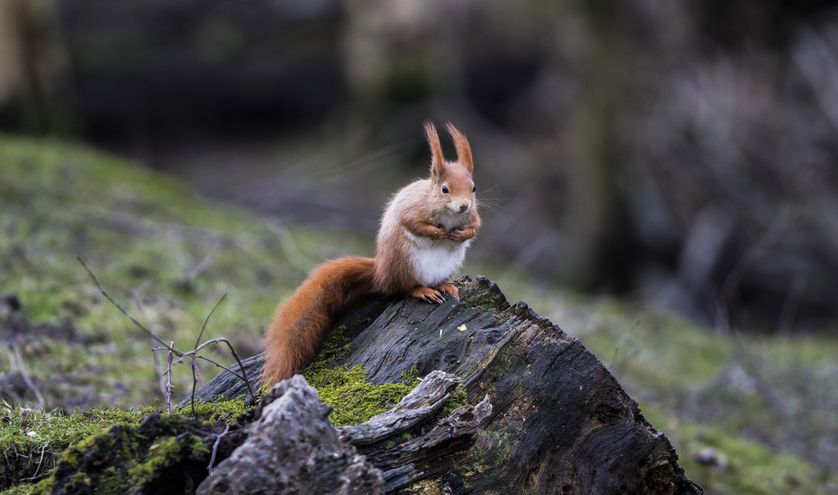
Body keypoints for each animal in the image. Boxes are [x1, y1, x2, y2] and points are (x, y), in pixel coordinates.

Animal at [266, 122, 482, 386]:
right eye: (445, 189)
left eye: (473, 188)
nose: (464, 206)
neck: (448, 215)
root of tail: (380, 272)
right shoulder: (413, 208)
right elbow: (413, 222)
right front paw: (438, 233)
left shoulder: (473, 216)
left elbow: (475, 227)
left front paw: (460, 234)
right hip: (405, 263)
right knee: (404, 287)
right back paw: (423, 291)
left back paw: (445, 286)